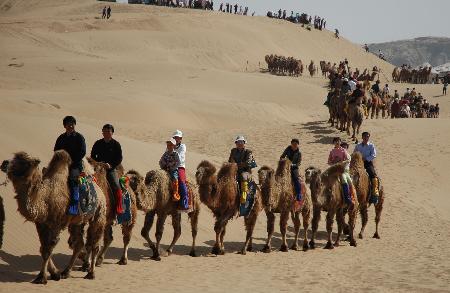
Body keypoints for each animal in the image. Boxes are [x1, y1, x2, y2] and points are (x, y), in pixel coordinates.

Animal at [0, 149, 106, 282]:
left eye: (24, 163)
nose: (4, 163)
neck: (45, 199)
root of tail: (100, 191)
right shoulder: (41, 224)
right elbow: (43, 248)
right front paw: (55, 273)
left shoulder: (56, 224)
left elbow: (48, 248)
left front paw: (41, 277)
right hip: (76, 222)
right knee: (79, 244)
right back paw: (66, 272)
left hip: (99, 213)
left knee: (94, 244)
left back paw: (91, 273)